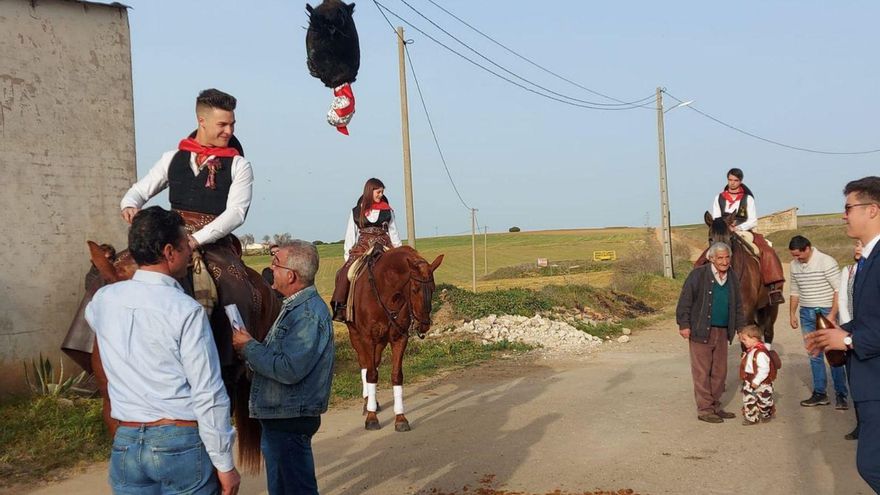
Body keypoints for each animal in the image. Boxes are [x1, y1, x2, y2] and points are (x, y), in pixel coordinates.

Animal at [346, 246, 444, 432]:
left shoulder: (399, 338)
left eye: (433, 288)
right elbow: (371, 374)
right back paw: (367, 403)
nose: (424, 325)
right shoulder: (368, 339)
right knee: (365, 365)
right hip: (356, 337)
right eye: (414, 289)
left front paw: (400, 418)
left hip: (381, 342)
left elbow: (396, 376)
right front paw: (371, 418)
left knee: (374, 362)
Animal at [704, 211, 780, 342]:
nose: (722, 258)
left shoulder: (745, 314)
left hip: (771, 308)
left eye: (730, 237)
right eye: (710, 238)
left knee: (768, 332)